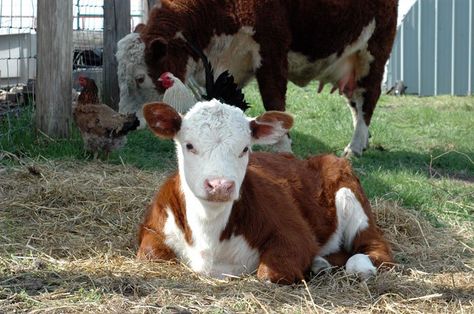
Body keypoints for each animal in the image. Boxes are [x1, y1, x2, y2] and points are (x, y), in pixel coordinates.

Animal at [136, 99, 392, 284]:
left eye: (244, 148)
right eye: (189, 145)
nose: (220, 185)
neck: (209, 235)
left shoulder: (295, 234)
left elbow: (269, 274)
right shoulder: (153, 227)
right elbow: (151, 254)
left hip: (351, 195)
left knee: (377, 249)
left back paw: (360, 267)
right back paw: (321, 264)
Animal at [142, 0, 400, 157]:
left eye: (141, 77)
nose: (138, 121)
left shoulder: (271, 49)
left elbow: (273, 98)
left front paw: (283, 146)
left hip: (372, 53)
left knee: (367, 98)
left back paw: (354, 147)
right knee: (354, 101)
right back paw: (363, 140)